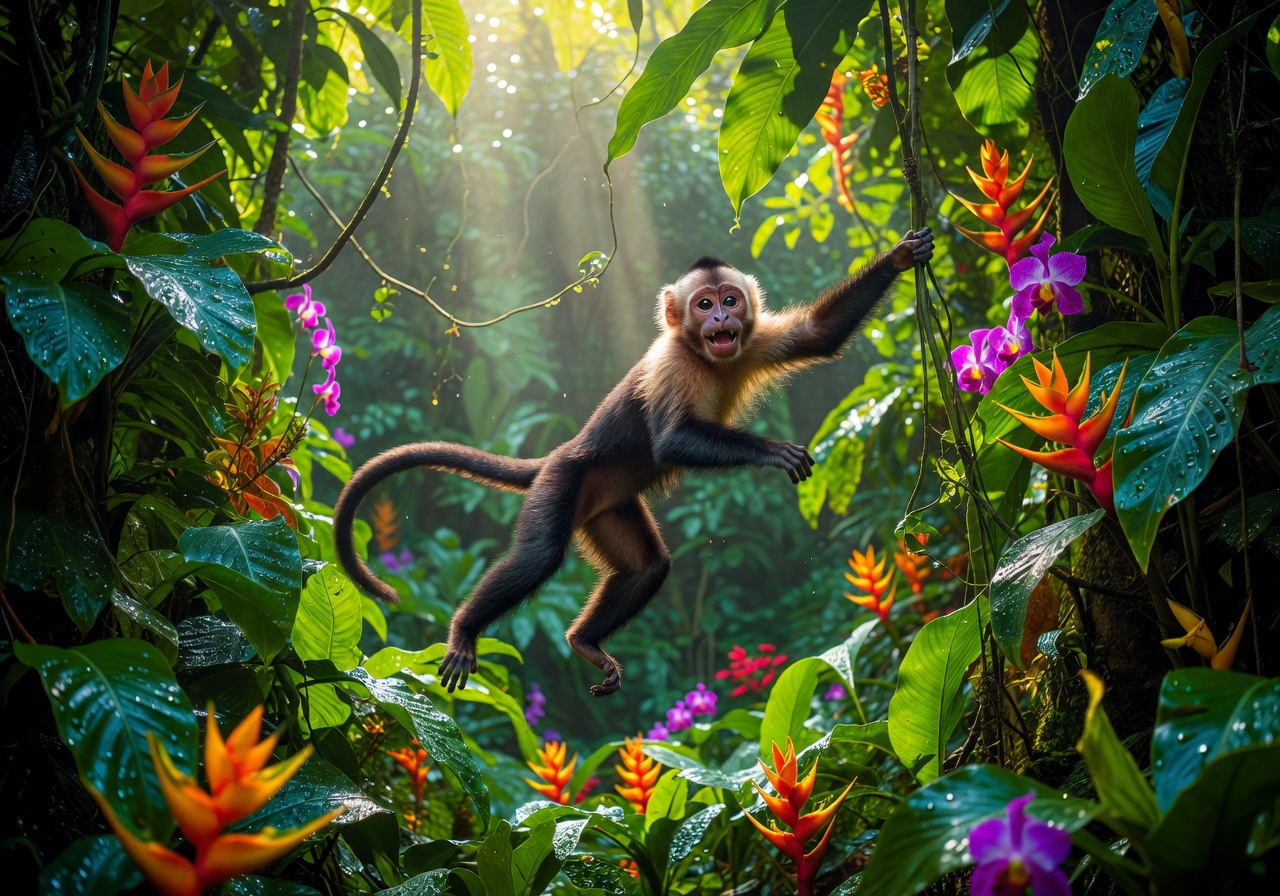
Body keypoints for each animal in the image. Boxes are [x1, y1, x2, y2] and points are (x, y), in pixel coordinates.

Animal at [333, 228, 933, 697]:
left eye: (731, 300)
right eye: (703, 305)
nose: (721, 318)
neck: (705, 356)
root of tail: (556, 456)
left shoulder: (753, 339)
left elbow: (817, 336)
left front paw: (901, 256)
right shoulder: (672, 364)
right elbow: (669, 442)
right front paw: (772, 451)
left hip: (606, 507)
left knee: (649, 566)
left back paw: (584, 641)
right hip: (564, 483)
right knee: (540, 557)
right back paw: (464, 629)